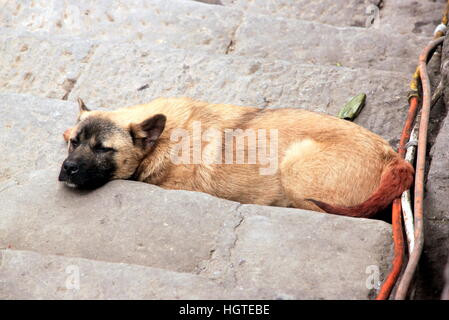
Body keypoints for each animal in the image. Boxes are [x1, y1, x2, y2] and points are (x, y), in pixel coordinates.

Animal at [59, 97, 412, 218]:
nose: (68, 169)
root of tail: (395, 159)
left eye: (103, 148)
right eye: (74, 143)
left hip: (295, 169)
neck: (163, 139)